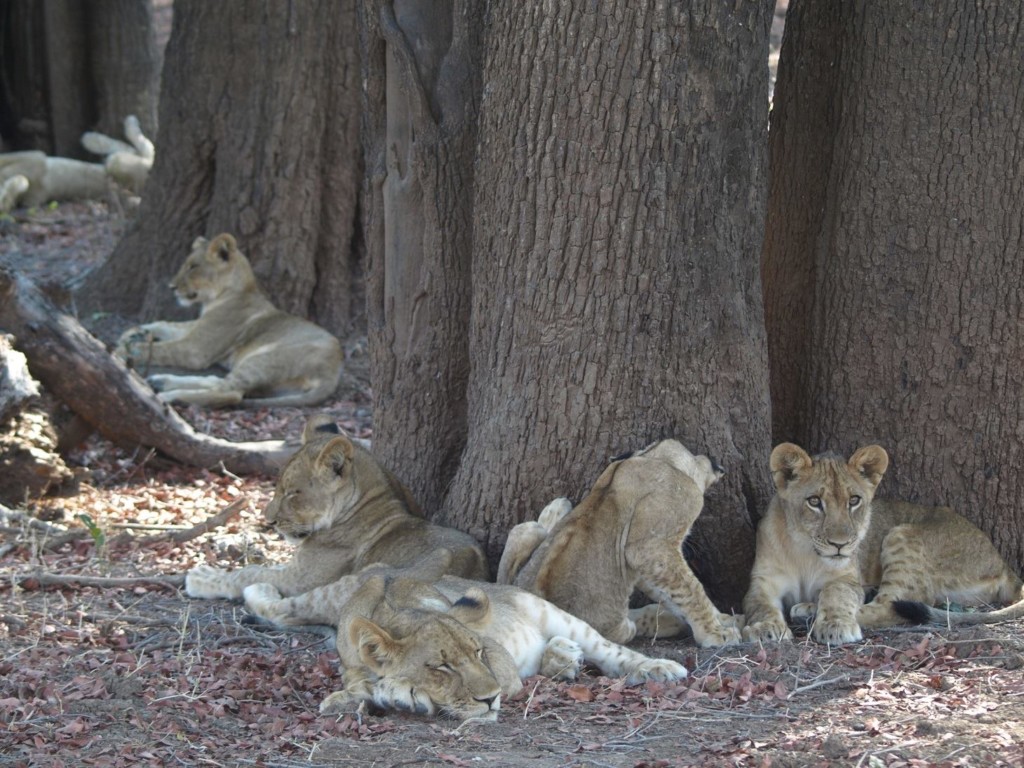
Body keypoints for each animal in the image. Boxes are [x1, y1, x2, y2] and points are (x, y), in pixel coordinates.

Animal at [115, 233, 343, 408]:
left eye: (193, 266)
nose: (171, 287)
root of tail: (332, 373)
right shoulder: (196, 329)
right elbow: (166, 325)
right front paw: (136, 331)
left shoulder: (196, 349)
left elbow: (158, 349)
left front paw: (121, 350)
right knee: (218, 381)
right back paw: (162, 381)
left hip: (263, 359)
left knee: (230, 393)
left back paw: (167, 395)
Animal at [241, 560, 689, 722]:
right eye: (441, 666)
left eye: (478, 653)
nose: (490, 700)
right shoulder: (351, 662)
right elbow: (358, 683)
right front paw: (344, 699)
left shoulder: (503, 666)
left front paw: (400, 693)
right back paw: (563, 657)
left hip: (552, 612)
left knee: (612, 650)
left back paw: (659, 668)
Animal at [496, 439, 743, 648]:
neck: (651, 457)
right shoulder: (650, 547)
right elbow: (691, 588)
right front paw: (715, 633)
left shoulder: (640, 559)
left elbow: (671, 592)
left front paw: (724, 619)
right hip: (614, 627)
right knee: (628, 625)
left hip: (526, 530)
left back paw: (556, 510)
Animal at [742, 442, 1024, 645]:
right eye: (814, 502)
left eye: (854, 500)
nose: (840, 545)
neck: (805, 553)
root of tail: (1001, 561)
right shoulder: (762, 580)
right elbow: (759, 604)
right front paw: (765, 628)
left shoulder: (846, 578)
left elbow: (838, 595)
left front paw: (836, 626)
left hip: (903, 533)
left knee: (896, 605)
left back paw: (812, 614)